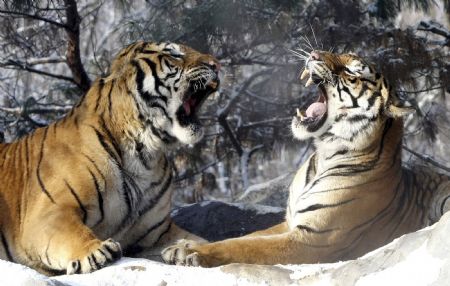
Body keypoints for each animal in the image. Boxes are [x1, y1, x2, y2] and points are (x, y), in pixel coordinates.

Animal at [0, 40, 220, 274]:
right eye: (174, 53)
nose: (217, 65)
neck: (145, 155)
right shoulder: (49, 213)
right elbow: (73, 232)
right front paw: (96, 251)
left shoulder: (156, 235)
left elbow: (203, 241)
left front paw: (191, 250)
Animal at [162, 50, 450, 268]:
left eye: (353, 71)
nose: (313, 54)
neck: (324, 155)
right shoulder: (289, 222)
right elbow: (250, 236)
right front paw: (184, 245)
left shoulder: (312, 240)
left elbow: (245, 246)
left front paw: (191, 252)